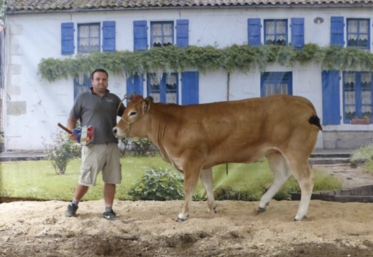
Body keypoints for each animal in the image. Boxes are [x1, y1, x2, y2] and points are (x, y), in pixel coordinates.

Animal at [112, 93, 322, 220]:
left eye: (132, 112)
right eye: (125, 110)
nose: (115, 130)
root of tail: (303, 101)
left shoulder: (192, 160)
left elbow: (188, 187)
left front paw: (183, 215)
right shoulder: (204, 163)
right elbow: (208, 185)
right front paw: (212, 207)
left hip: (296, 152)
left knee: (306, 180)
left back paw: (299, 215)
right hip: (274, 152)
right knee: (281, 176)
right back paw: (262, 205)